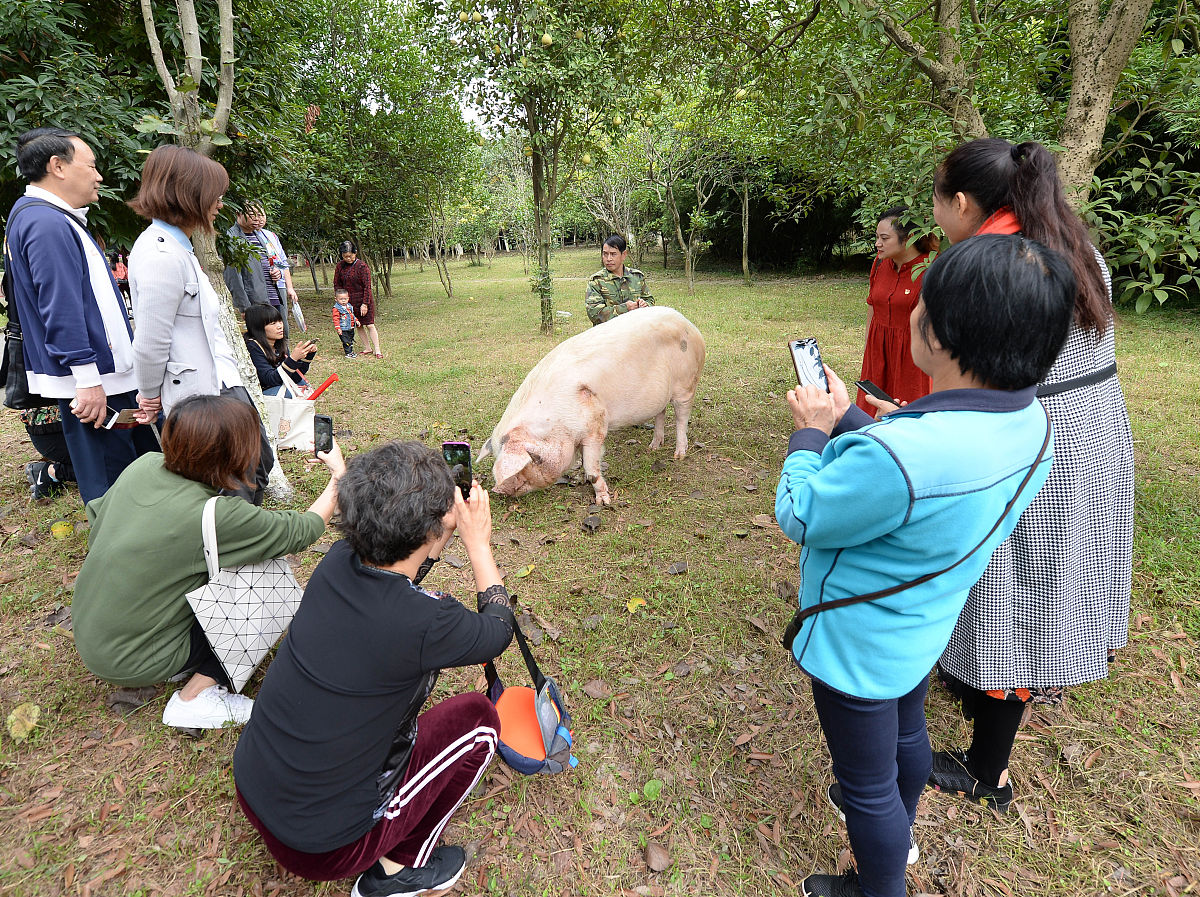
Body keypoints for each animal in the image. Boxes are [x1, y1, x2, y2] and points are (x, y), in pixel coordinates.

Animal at [477, 306, 700, 503]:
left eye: (534, 457)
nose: (499, 489)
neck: (556, 421)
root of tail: (689, 323)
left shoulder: (595, 426)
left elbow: (592, 468)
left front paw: (604, 501)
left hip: (686, 385)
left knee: (681, 419)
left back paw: (679, 455)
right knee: (661, 413)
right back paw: (653, 448)